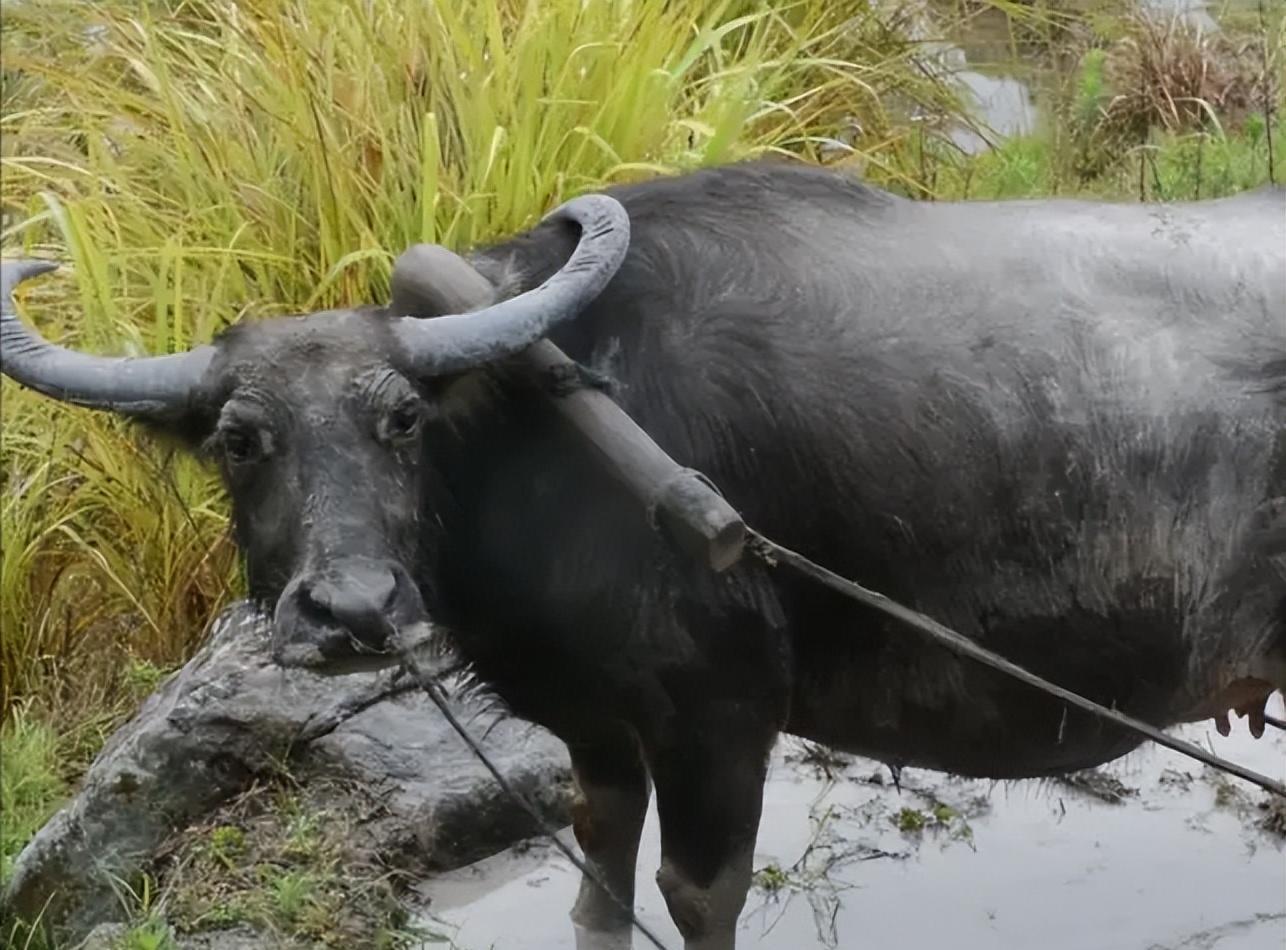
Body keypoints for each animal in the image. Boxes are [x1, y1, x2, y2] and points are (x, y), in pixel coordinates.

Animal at [2, 160, 1286, 946]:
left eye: (402, 419)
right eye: (239, 438)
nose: (352, 611)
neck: (539, 431)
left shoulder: (718, 719)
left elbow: (692, 893)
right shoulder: (596, 727)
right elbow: (598, 878)